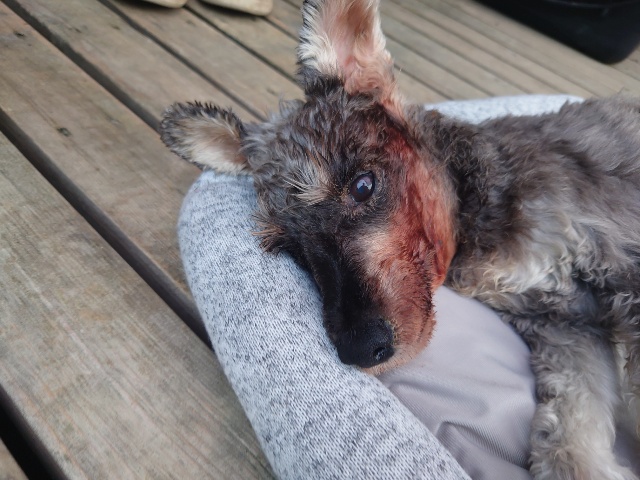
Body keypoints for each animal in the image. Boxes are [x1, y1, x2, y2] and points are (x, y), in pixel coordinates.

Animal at [160, 0, 640, 477]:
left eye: (362, 186)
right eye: (291, 248)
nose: (361, 349)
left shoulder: (619, 272)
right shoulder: (567, 328)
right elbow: (571, 424)